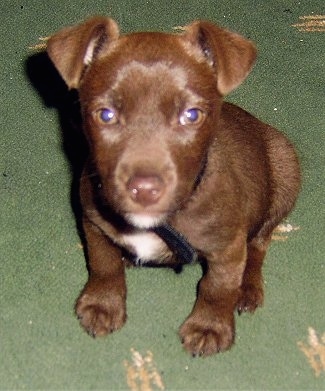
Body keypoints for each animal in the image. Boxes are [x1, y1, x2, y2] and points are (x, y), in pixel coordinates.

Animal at [45, 18, 298, 356]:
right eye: (106, 115)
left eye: (191, 115)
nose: (144, 189)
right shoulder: (93, 221)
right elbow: (103, 263)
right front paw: (103, 304)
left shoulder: (228, 246)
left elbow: (217, 288)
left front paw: (209, 326)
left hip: (285, 174)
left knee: (259, 242)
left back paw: (248, 286)